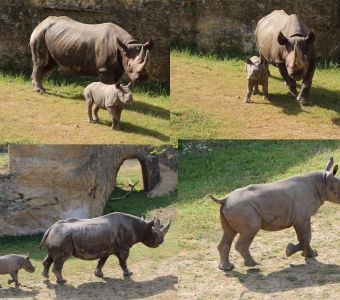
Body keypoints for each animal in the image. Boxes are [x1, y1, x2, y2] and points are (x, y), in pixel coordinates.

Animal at [40, 212, 171, 284]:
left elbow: (102, 261)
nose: (161, 241)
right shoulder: (124, 248)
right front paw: (128, 274)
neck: (141, 227)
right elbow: (123, 261)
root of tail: (50, 229)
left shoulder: (107, 248)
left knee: (51, 256)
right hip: (61, 236)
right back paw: (62, 282)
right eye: (156, 235)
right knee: (61, 259)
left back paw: (45, 276)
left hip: (57, 236)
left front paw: (98, 274)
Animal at [207, 158, 340, 270]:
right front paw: (290, 251)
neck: (323, 182)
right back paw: (253, 264)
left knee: (229, 232)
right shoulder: (301, 218)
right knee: (250, 230)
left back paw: (227, 268)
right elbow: (305, 237)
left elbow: (306, 237)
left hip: (230, 208)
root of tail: (225, 199)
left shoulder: (303, 218)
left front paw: (310, 254)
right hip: (241, 208)